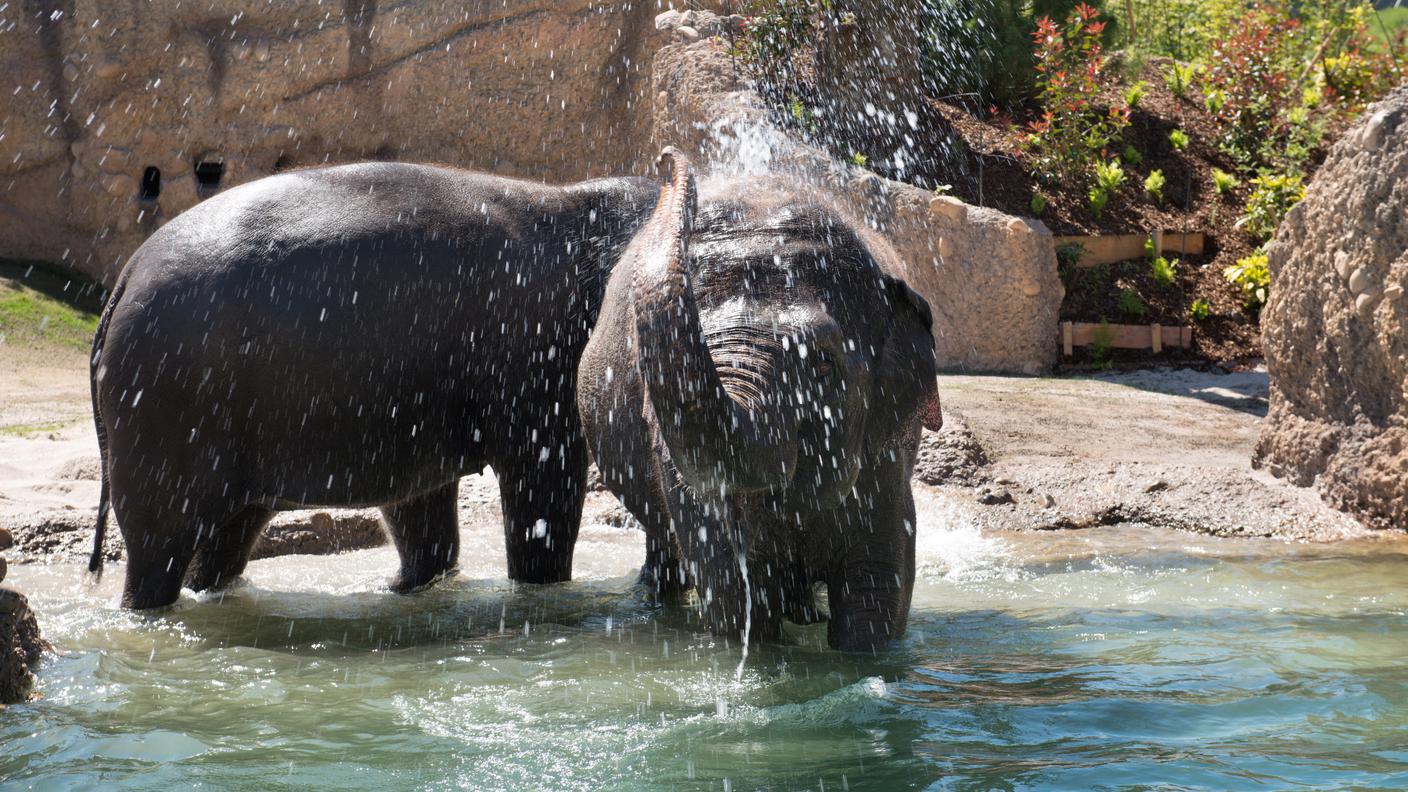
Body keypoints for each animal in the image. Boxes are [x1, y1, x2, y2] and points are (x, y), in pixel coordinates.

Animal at [89, 158, 658, 603]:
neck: (586, 201)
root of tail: (126, 277)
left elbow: (422, 506)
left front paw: (413, 590)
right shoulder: (531, 359)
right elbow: (542, 483)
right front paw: (539, 591)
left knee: (226, 538)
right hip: (168, 403)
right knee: (161, 543)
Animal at [577, 150, 940, 651]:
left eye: (822, 365)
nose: (666, 158)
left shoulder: (887, 453)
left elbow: (879, 586)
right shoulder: (675, 460)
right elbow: (734, 591)